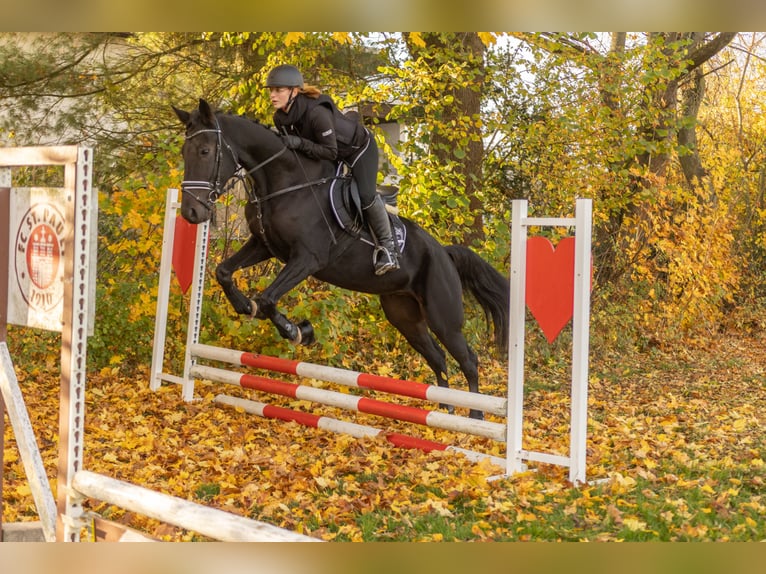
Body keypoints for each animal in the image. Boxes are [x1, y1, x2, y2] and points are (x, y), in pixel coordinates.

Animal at [173, 99, 510, 420]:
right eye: (184, 152)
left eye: (205, 151)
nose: (192, 212)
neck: (284, 181)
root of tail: (444, 253)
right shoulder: (264, 246)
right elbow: (223, 272)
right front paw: (247, 307)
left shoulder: (308, 258)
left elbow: (267, 299)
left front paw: (298, 332)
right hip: (404, 316)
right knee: (437, 357)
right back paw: (443, 411)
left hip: (443, 316)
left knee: (468, 358)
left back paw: (475, 418)